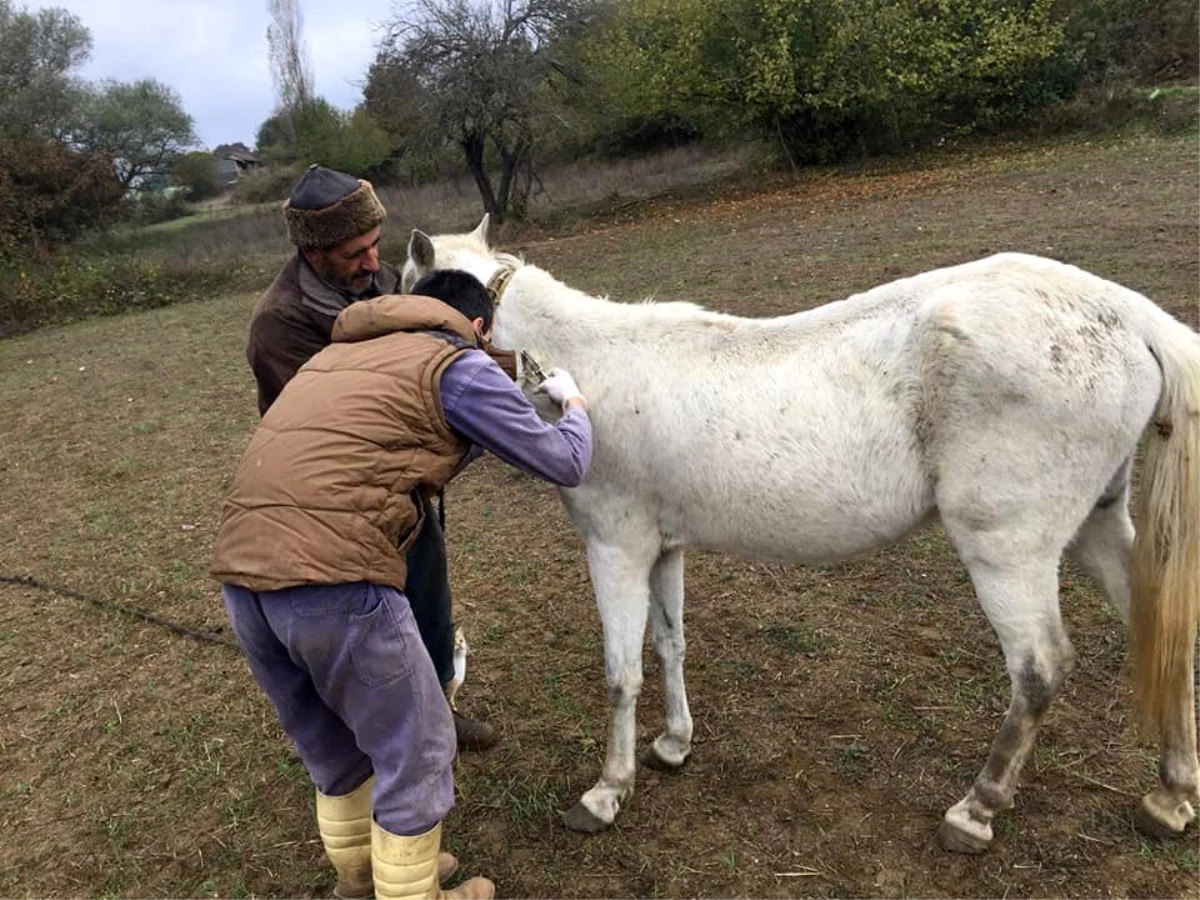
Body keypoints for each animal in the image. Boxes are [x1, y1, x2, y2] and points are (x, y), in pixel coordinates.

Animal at [403, 217, 1200, 854]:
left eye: (401, 285)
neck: (589, 368)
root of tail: (1125, 312)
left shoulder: (615, 549)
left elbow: (621, 672)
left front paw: (606, 793)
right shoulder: (664, 548)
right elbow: (669, 646)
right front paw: (674, 744)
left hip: (1008, 551)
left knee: (1039, 669)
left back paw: (975, 811)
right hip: (1097, 525)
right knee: (1163, 634)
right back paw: (1171, 797)